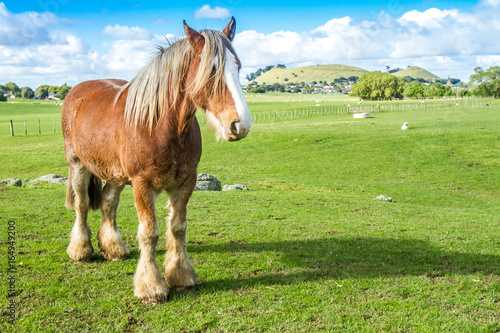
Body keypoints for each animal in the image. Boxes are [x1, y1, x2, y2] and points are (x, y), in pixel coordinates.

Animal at [61, 17, 252, 304]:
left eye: (237, 67)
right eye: (211, 70)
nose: (240, 124)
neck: (162, 125)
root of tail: (77, 91)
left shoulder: (185, 182)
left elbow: (178, 227)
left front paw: (181, 276)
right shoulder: (142, 184)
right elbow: (150, 232)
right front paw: (151, 287)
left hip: (116, 173)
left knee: (108, 202)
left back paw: (114, 247)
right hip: (78, 164)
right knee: (82, 204)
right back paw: (80, 249)